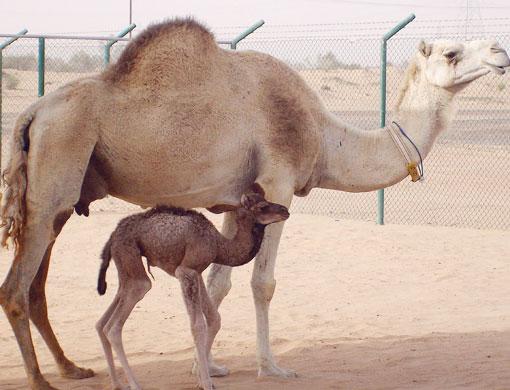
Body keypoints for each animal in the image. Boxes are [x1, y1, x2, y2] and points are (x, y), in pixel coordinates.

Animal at [94, 187, 288, 388]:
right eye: (263, 206)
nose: (285, 211)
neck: (218, 245)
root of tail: (112, 237)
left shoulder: (197, 272)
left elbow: (214, 318)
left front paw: (203, 379)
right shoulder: (186, 270)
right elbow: (198, 326)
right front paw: (206, 383)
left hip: (125, 268)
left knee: (102, 321)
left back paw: (117, 383)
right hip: (131, 258)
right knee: (115, 325)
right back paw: (134, 384)